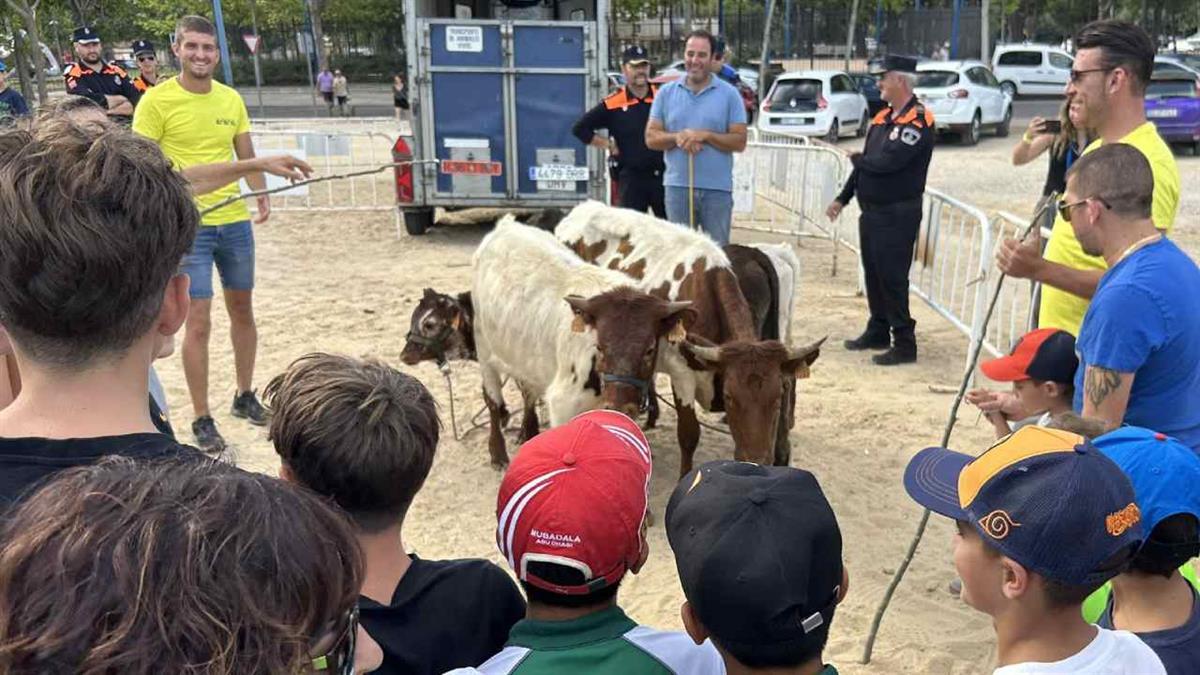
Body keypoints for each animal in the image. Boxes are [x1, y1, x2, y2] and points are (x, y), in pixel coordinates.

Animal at [470, 218, 691, 466]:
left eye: (650, 349)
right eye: (600, 346)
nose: (620, 407)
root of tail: (506, 225)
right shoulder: (562, 404)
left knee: (527, 390)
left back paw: (528, 432)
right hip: (483, 348)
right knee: (492, 400)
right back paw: (498, 452)